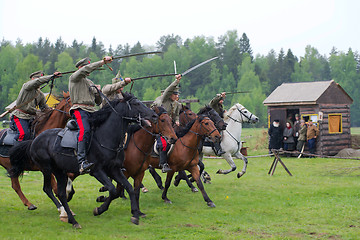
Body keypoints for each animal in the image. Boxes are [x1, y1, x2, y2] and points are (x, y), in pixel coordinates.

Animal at [8, 92, 158, 229]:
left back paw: (71, 219)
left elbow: (129, 189)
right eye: (136, 104)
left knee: (61, 193)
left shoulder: (114, 169)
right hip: (47, 169)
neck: (105, 137)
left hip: (60, 171)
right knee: (49, 189)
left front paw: (135, 215)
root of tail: (34, 140)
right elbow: (113, 190)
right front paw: (99, 210)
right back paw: (68, 216)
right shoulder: (97, 171)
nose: (154, 116)